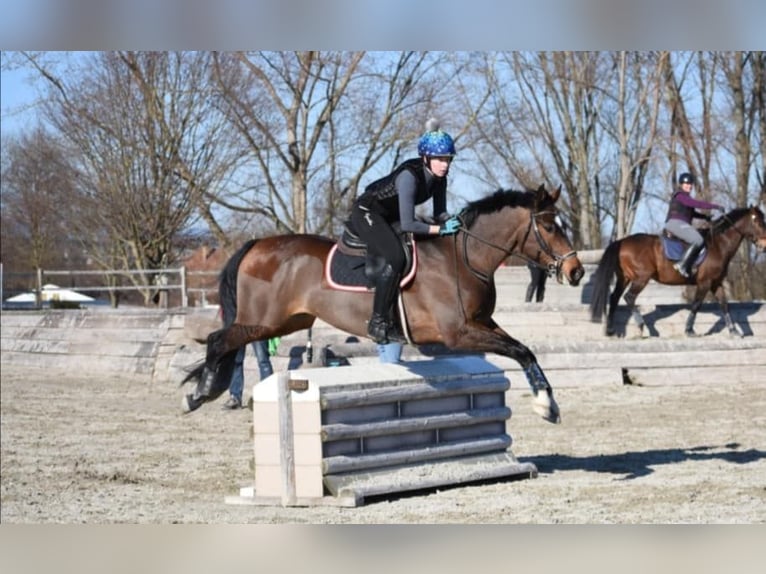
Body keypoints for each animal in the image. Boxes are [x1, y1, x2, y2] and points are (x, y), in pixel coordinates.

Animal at [183, 187, 584, 426]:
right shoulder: (459, 333)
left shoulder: (482, 323)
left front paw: (549, 403)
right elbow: (520, 351)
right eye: (550, 227)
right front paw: (545, 405)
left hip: (286, 322)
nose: (576, 271)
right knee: (219, 339)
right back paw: (200, 393)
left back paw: (208, 388)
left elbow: (524, 350)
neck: (466, 257)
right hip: (264, 320)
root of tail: (256, 244)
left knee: (229, 342)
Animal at [592, 207, 766, 340]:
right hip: (641, 278)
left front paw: (734, 331)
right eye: (757, 221)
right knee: (629, 297)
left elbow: (724, 305)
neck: (719, 244)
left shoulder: (716, 283)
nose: (764, 244)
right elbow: (696, 304)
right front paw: (689, 330)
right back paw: (641, 326)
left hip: (625, 278)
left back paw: (611, 331)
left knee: (614, 298)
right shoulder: (705, 282)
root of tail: (622, 241)